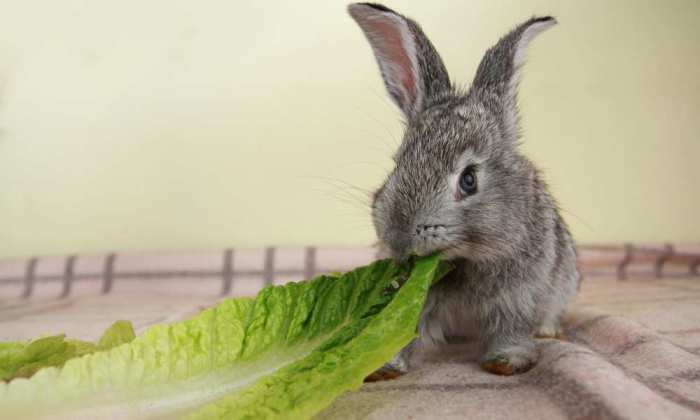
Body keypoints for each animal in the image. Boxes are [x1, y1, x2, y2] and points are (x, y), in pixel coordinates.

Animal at [346, 3, 580, 376]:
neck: (462, 258)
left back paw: (549, 331)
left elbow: (512, 328)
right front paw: (385, 367)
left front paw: (506, 362)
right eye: (397, 164)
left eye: (469, 179)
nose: (398, 239)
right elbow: (403, 330)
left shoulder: (520, 293)